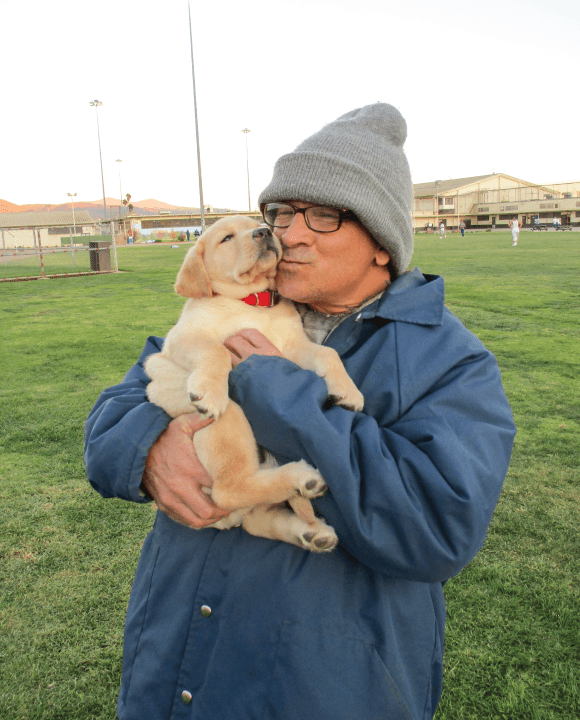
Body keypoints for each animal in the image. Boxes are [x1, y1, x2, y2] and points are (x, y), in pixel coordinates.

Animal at [145, 214, 362, 552]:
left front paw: (348, 391)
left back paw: (311, 531)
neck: (252, 302)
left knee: (258, 519)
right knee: (228, 489)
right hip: (229, 419)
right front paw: (209, 391)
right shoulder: (185, 336)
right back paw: (300, 479)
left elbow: (327, 354)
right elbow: (216, 350)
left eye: (261, 223)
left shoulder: (292, 346)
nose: (264, 232)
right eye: (226, 238)